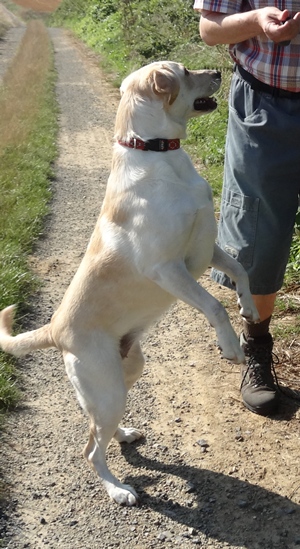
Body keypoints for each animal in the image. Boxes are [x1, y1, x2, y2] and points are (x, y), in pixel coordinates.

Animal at [0, 61, 258, 506]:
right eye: (185, 71)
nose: (217, 70)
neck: (157, 153)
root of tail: (55, 329)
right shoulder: (168, 268)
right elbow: (213, 306)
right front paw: (230, 346)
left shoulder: (207, 251)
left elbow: (240, 271)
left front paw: (250, 307)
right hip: (107, 388)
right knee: (90, 450)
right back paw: (118, 489)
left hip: (127, 373)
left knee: (96, 428)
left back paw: (123, 434)